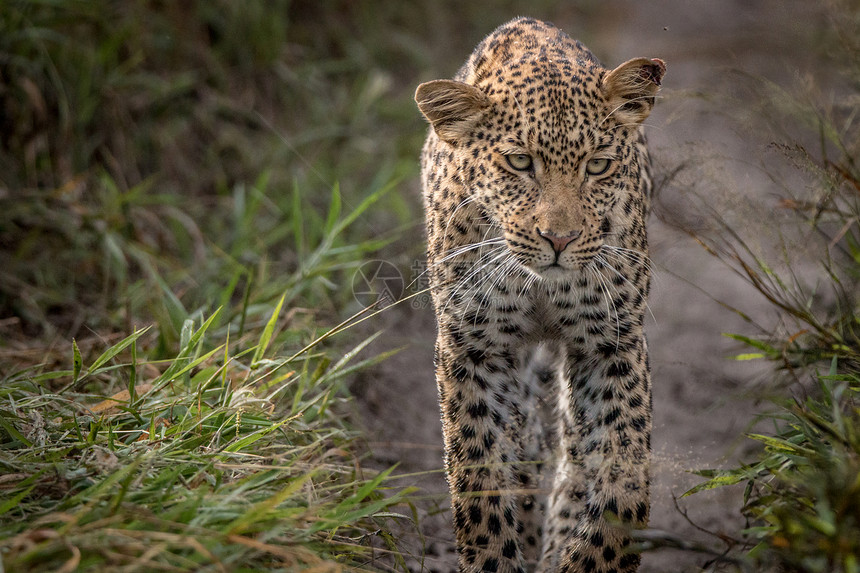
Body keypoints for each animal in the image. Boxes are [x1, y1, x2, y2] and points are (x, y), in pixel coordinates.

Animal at [414, 15, 668, 568]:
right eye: (519, 162)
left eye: (597, 165)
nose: (560, 239)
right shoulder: (474, 347)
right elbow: (480, 470)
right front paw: (495, 556)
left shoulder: (609, 343)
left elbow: (622, 469)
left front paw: (595, 554)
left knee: (572, 450)